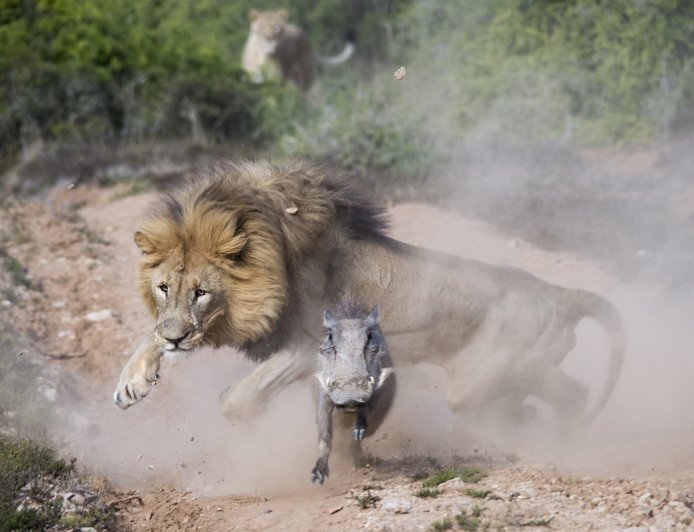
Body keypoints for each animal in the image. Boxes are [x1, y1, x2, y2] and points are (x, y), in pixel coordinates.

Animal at [113, 160, 625, 428]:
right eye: (164, 288)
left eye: (202, 292)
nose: (177, 338)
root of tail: (560, 293)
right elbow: (149, 335)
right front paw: (131, 383)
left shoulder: (306, 345)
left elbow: (238, 399)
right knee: (567, 393)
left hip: (491, 371)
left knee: (567, 392)